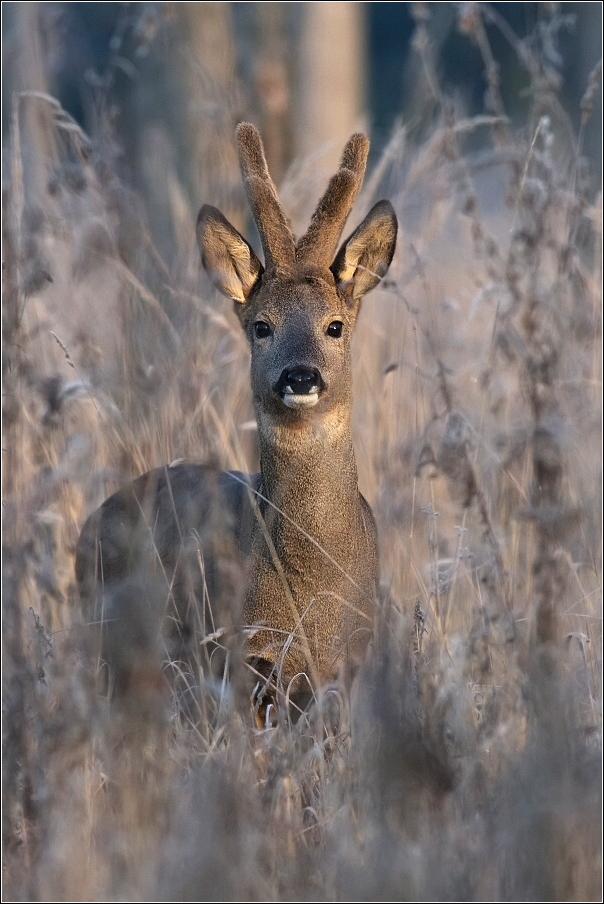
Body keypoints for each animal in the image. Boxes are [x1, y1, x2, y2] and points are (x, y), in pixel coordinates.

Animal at [75, 123, 396, 712]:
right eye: (262, 326)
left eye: (335, 325)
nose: (300, 377)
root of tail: (89, 526)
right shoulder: (243, 655)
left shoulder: (349, 661)